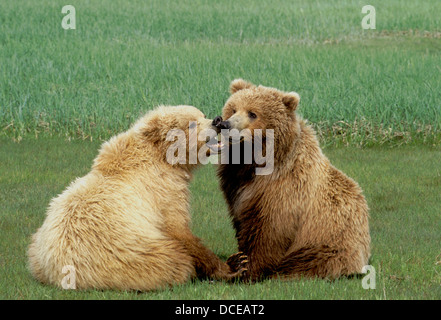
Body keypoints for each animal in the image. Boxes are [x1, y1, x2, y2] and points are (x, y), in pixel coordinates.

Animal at [28, 105, 244, 290]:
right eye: (190, 123)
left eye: (201, 114)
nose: (217, 120)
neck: (163, 158)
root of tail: (63, 272)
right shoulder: (164, 190)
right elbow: (178, 228)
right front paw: (232, 267)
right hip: (128, 252)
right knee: (173, 261)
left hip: (35, 249)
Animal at [218, 79, 370, 280]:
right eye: (233, 109)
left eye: (253, 113)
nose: (226, 124)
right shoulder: (236, 184)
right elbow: (243, 222)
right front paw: (238, 260)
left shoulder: (284, 190)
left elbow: (268, 230)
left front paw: (249, 269)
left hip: (326, 243)